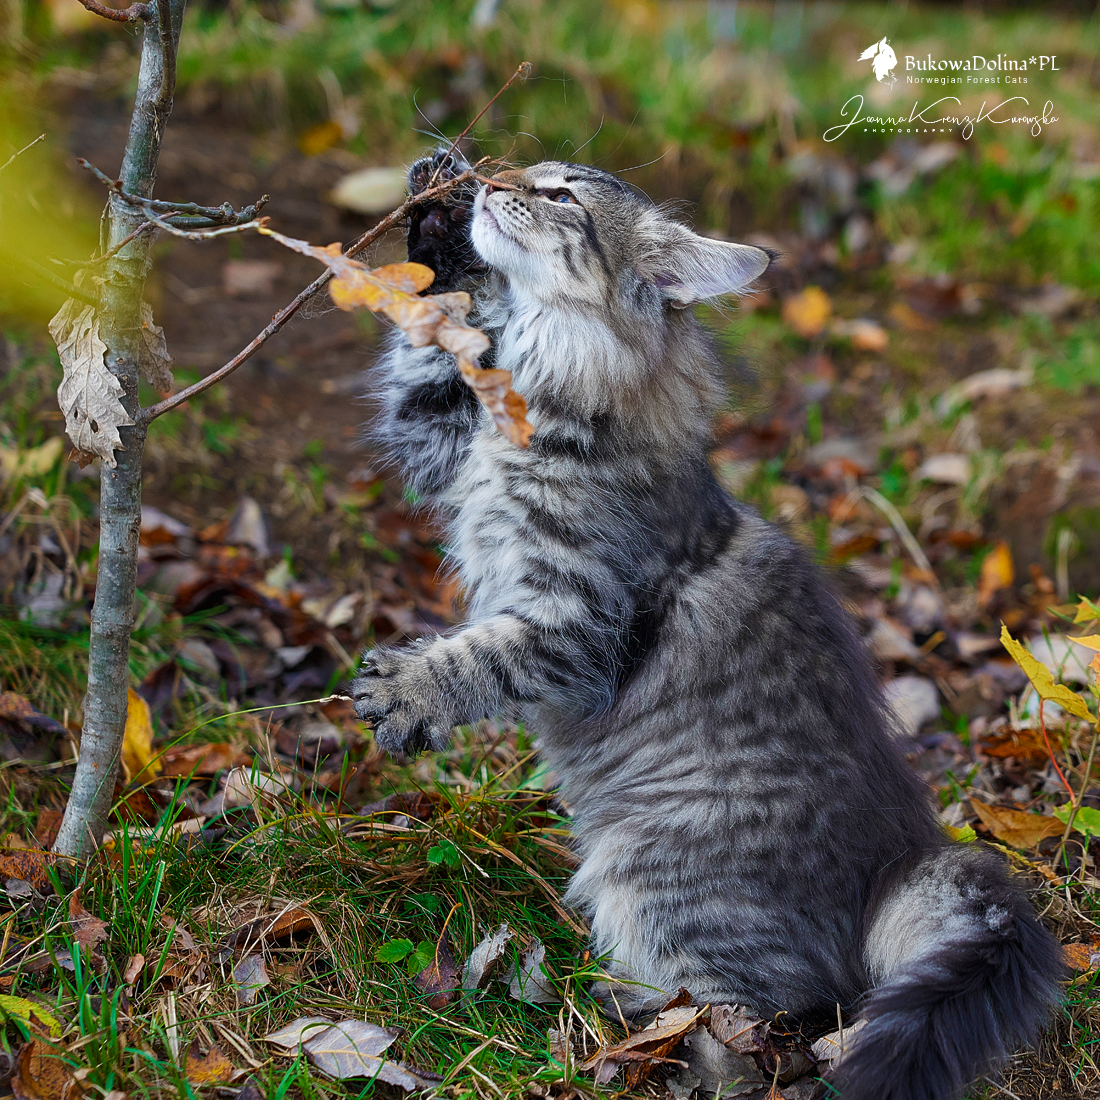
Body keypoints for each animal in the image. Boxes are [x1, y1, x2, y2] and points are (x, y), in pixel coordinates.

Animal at [353, 149, 1062, 1100]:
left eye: (561, 195)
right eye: (527, 173)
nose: (495, 182)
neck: (548, 389)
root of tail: (897, 863)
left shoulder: (575, 623)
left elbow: (481, 659)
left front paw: (407, 691)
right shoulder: (443, 450)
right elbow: (424, 361)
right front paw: (432, 230)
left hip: (652, 874)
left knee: (743, 1032)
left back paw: (600, 1028)